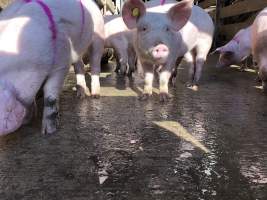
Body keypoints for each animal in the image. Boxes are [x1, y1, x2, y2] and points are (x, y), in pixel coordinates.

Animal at [0, 0, 99, 136]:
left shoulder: (62, 63)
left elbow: (50, 96)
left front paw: (48, 132)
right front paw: (27, 121)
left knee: (95, 61)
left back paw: (94, 95)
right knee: (80, 65)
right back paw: (80, 95)